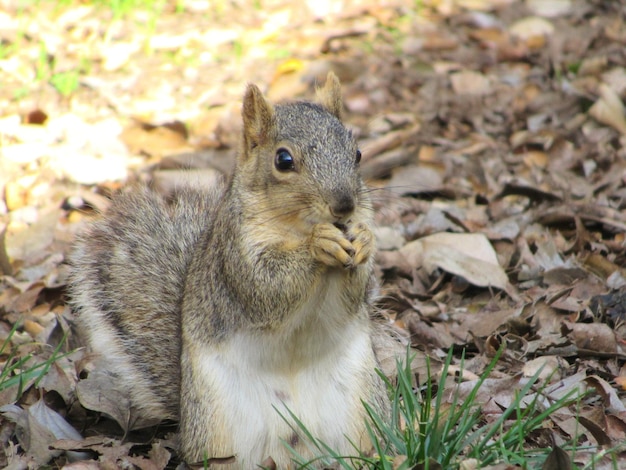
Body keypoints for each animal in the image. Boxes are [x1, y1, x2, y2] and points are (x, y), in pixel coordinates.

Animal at [69, 72, 390, 466]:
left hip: (362, 408)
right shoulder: (235, 253)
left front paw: (364, 240)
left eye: (357, 153)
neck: (296, 226)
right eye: (283, 160)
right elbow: (267, 288)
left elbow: (352, 294)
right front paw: (320, 244)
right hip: (216, 421)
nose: (344, 206)